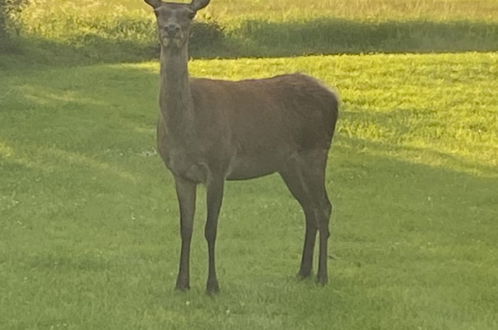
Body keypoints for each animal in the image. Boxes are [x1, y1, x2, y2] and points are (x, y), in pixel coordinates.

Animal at [144, 0, 338, 294]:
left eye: (189, 14)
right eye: (159, 12)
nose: (172, 29)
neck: (188, 127)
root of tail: (335, 96)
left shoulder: (218, 165)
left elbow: (210, 228)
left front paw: (212, 286)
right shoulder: (180, 173)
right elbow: (185, 228)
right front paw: (181, 284)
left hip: (316, 150)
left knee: (324, 207)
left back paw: (322, 276)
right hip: (288, 164)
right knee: (309, 208)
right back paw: (303, 272)